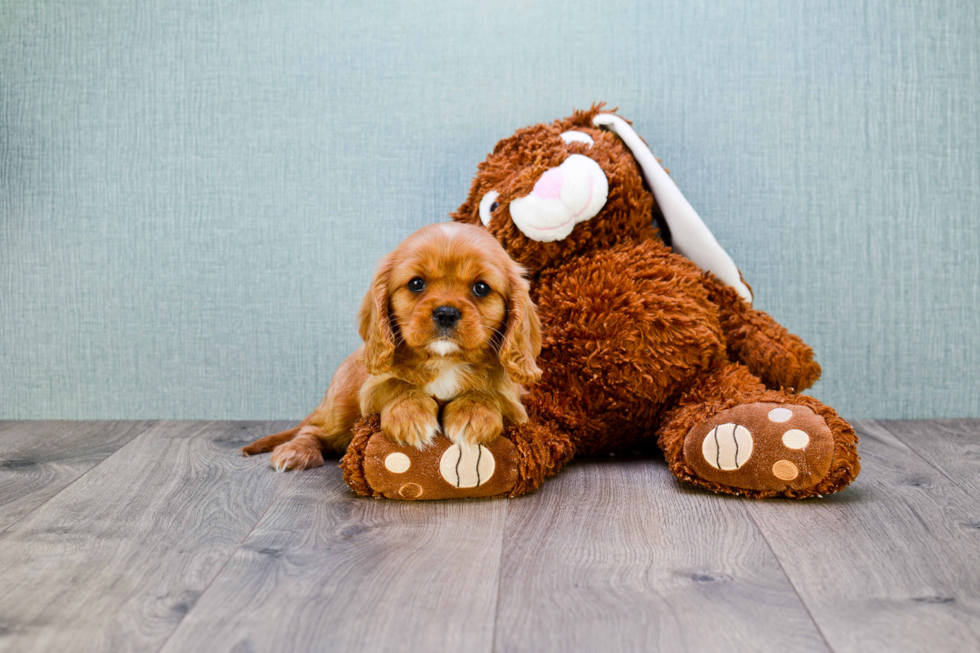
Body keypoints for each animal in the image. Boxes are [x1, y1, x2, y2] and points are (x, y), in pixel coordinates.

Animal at [240, 222, 540, 472]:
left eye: (481, 288)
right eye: (416, 283)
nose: (446, 313)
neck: (444, 361)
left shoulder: (515, 404)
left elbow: (487, 393)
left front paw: (473, 415)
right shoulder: (370, 391)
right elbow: (395, 384)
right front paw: (410, 417)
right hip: (339, 410)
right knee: (313, 430)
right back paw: (296, 451)